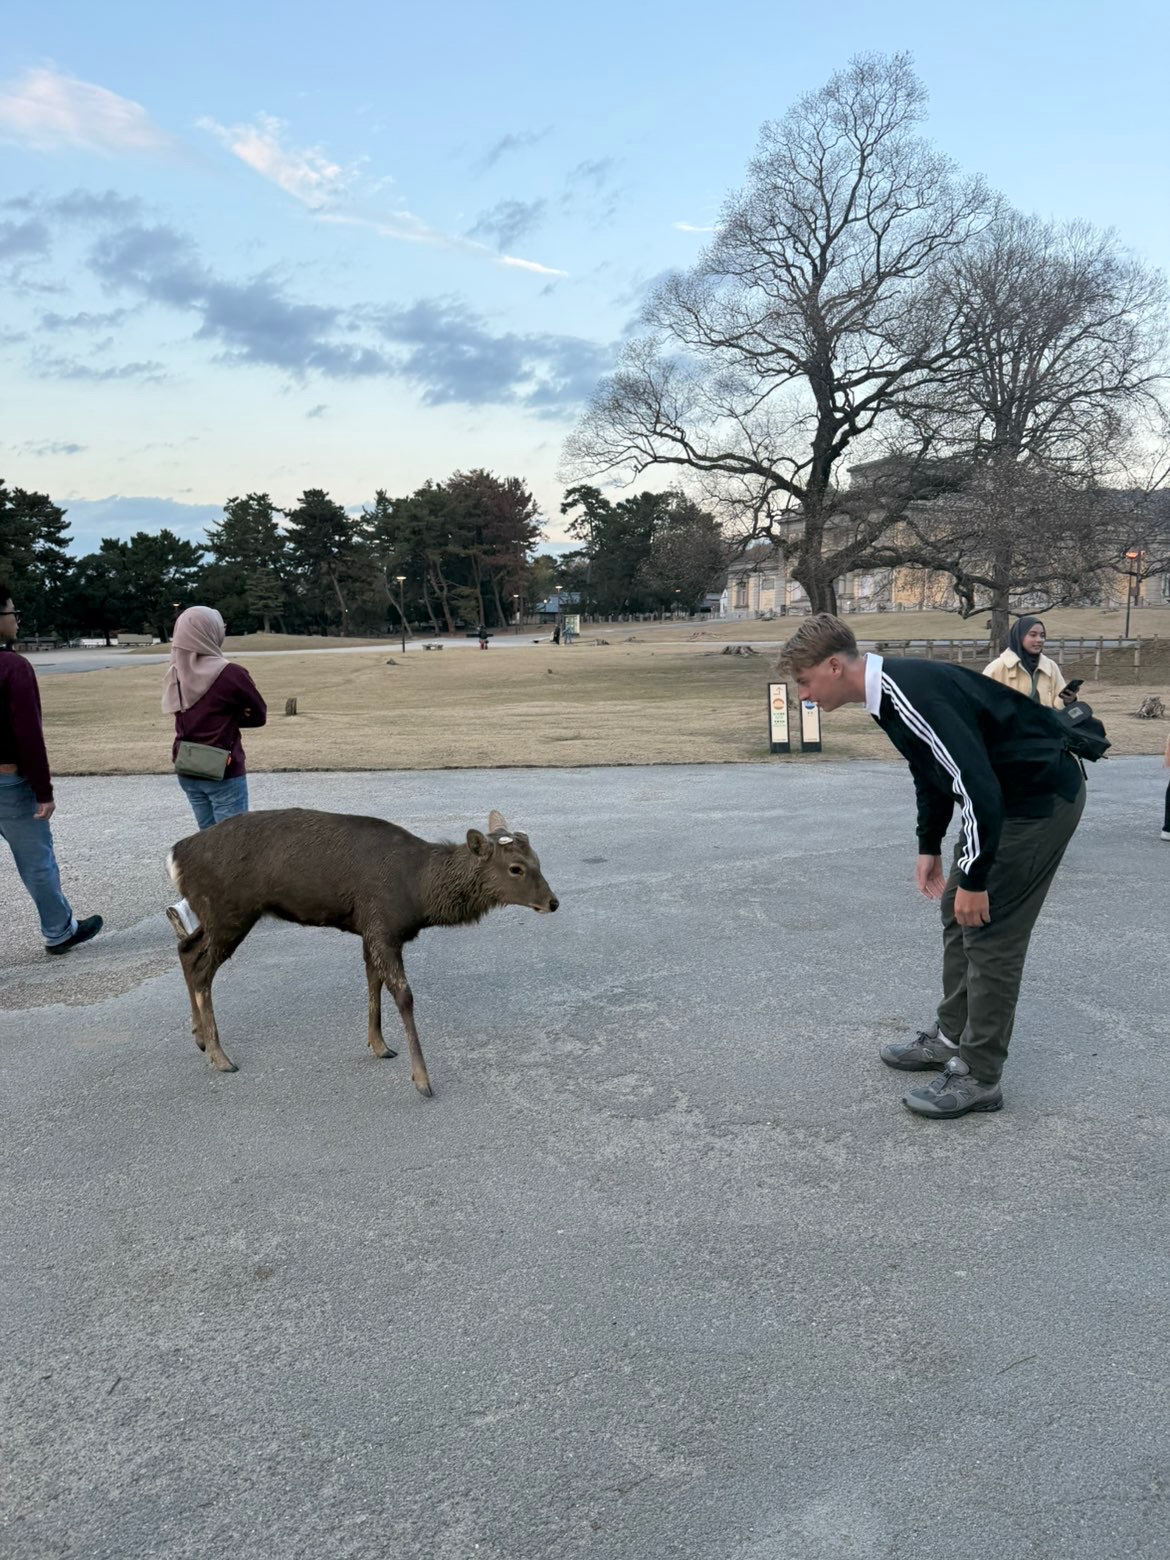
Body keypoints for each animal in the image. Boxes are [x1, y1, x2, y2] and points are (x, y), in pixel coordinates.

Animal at [165, 808, 558, 1095]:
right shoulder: (383, 922)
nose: (553, 902)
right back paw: (220, 1056)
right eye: (516, 868)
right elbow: (403, 994)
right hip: (228, 910)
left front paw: (379, 1045)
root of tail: (175, 856)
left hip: (216, 916)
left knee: (186, 948)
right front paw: (422, 1079)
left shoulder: (371, 929)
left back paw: (200, 1038)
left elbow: (373, 980)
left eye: (538, 859)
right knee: (202, 969)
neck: (419, 892)